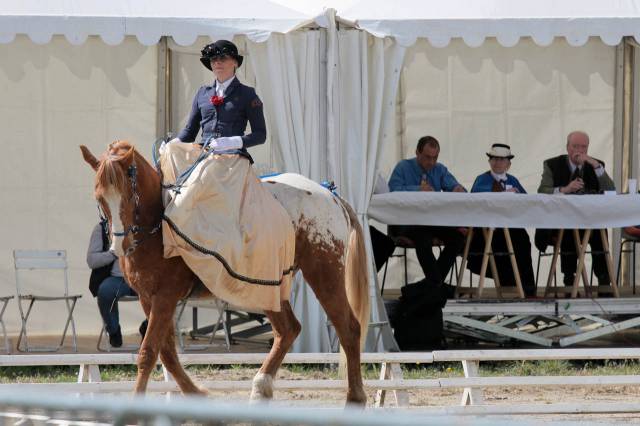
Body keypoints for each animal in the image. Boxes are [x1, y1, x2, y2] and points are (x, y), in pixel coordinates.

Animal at [80, 141, 370, 404]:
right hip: (267, 286)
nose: (119, 247)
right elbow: (167, 352)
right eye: (99, 198)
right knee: (289, 329)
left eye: (129, 196)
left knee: (348, 328)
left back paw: (354, 398)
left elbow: (148, 352)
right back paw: (260, 389)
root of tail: (330, 194)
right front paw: (196, 393)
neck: (155, 223)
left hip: (324, 272)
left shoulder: (165, 296)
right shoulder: (147, 297)